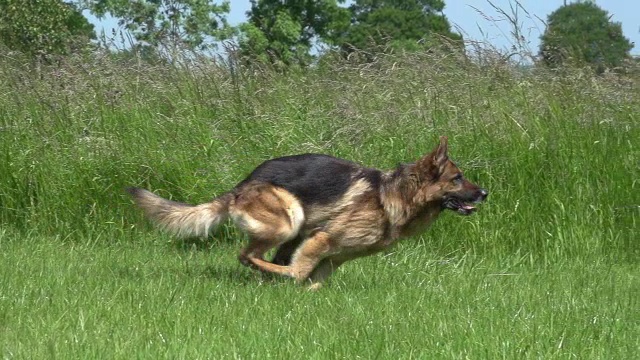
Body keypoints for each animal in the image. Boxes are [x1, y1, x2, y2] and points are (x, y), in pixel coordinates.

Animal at [127, 136, 488, 288]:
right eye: (457, 178)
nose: (484, 193)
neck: (395, 195)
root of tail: (242, 184)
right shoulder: (322, 240)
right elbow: (301, 273)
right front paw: (291, 282)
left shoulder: (335, 257)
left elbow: (315, 281)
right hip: (289, 221)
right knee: (248, 255)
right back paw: (267, 272)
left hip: (294, 233)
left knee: (265, 258)